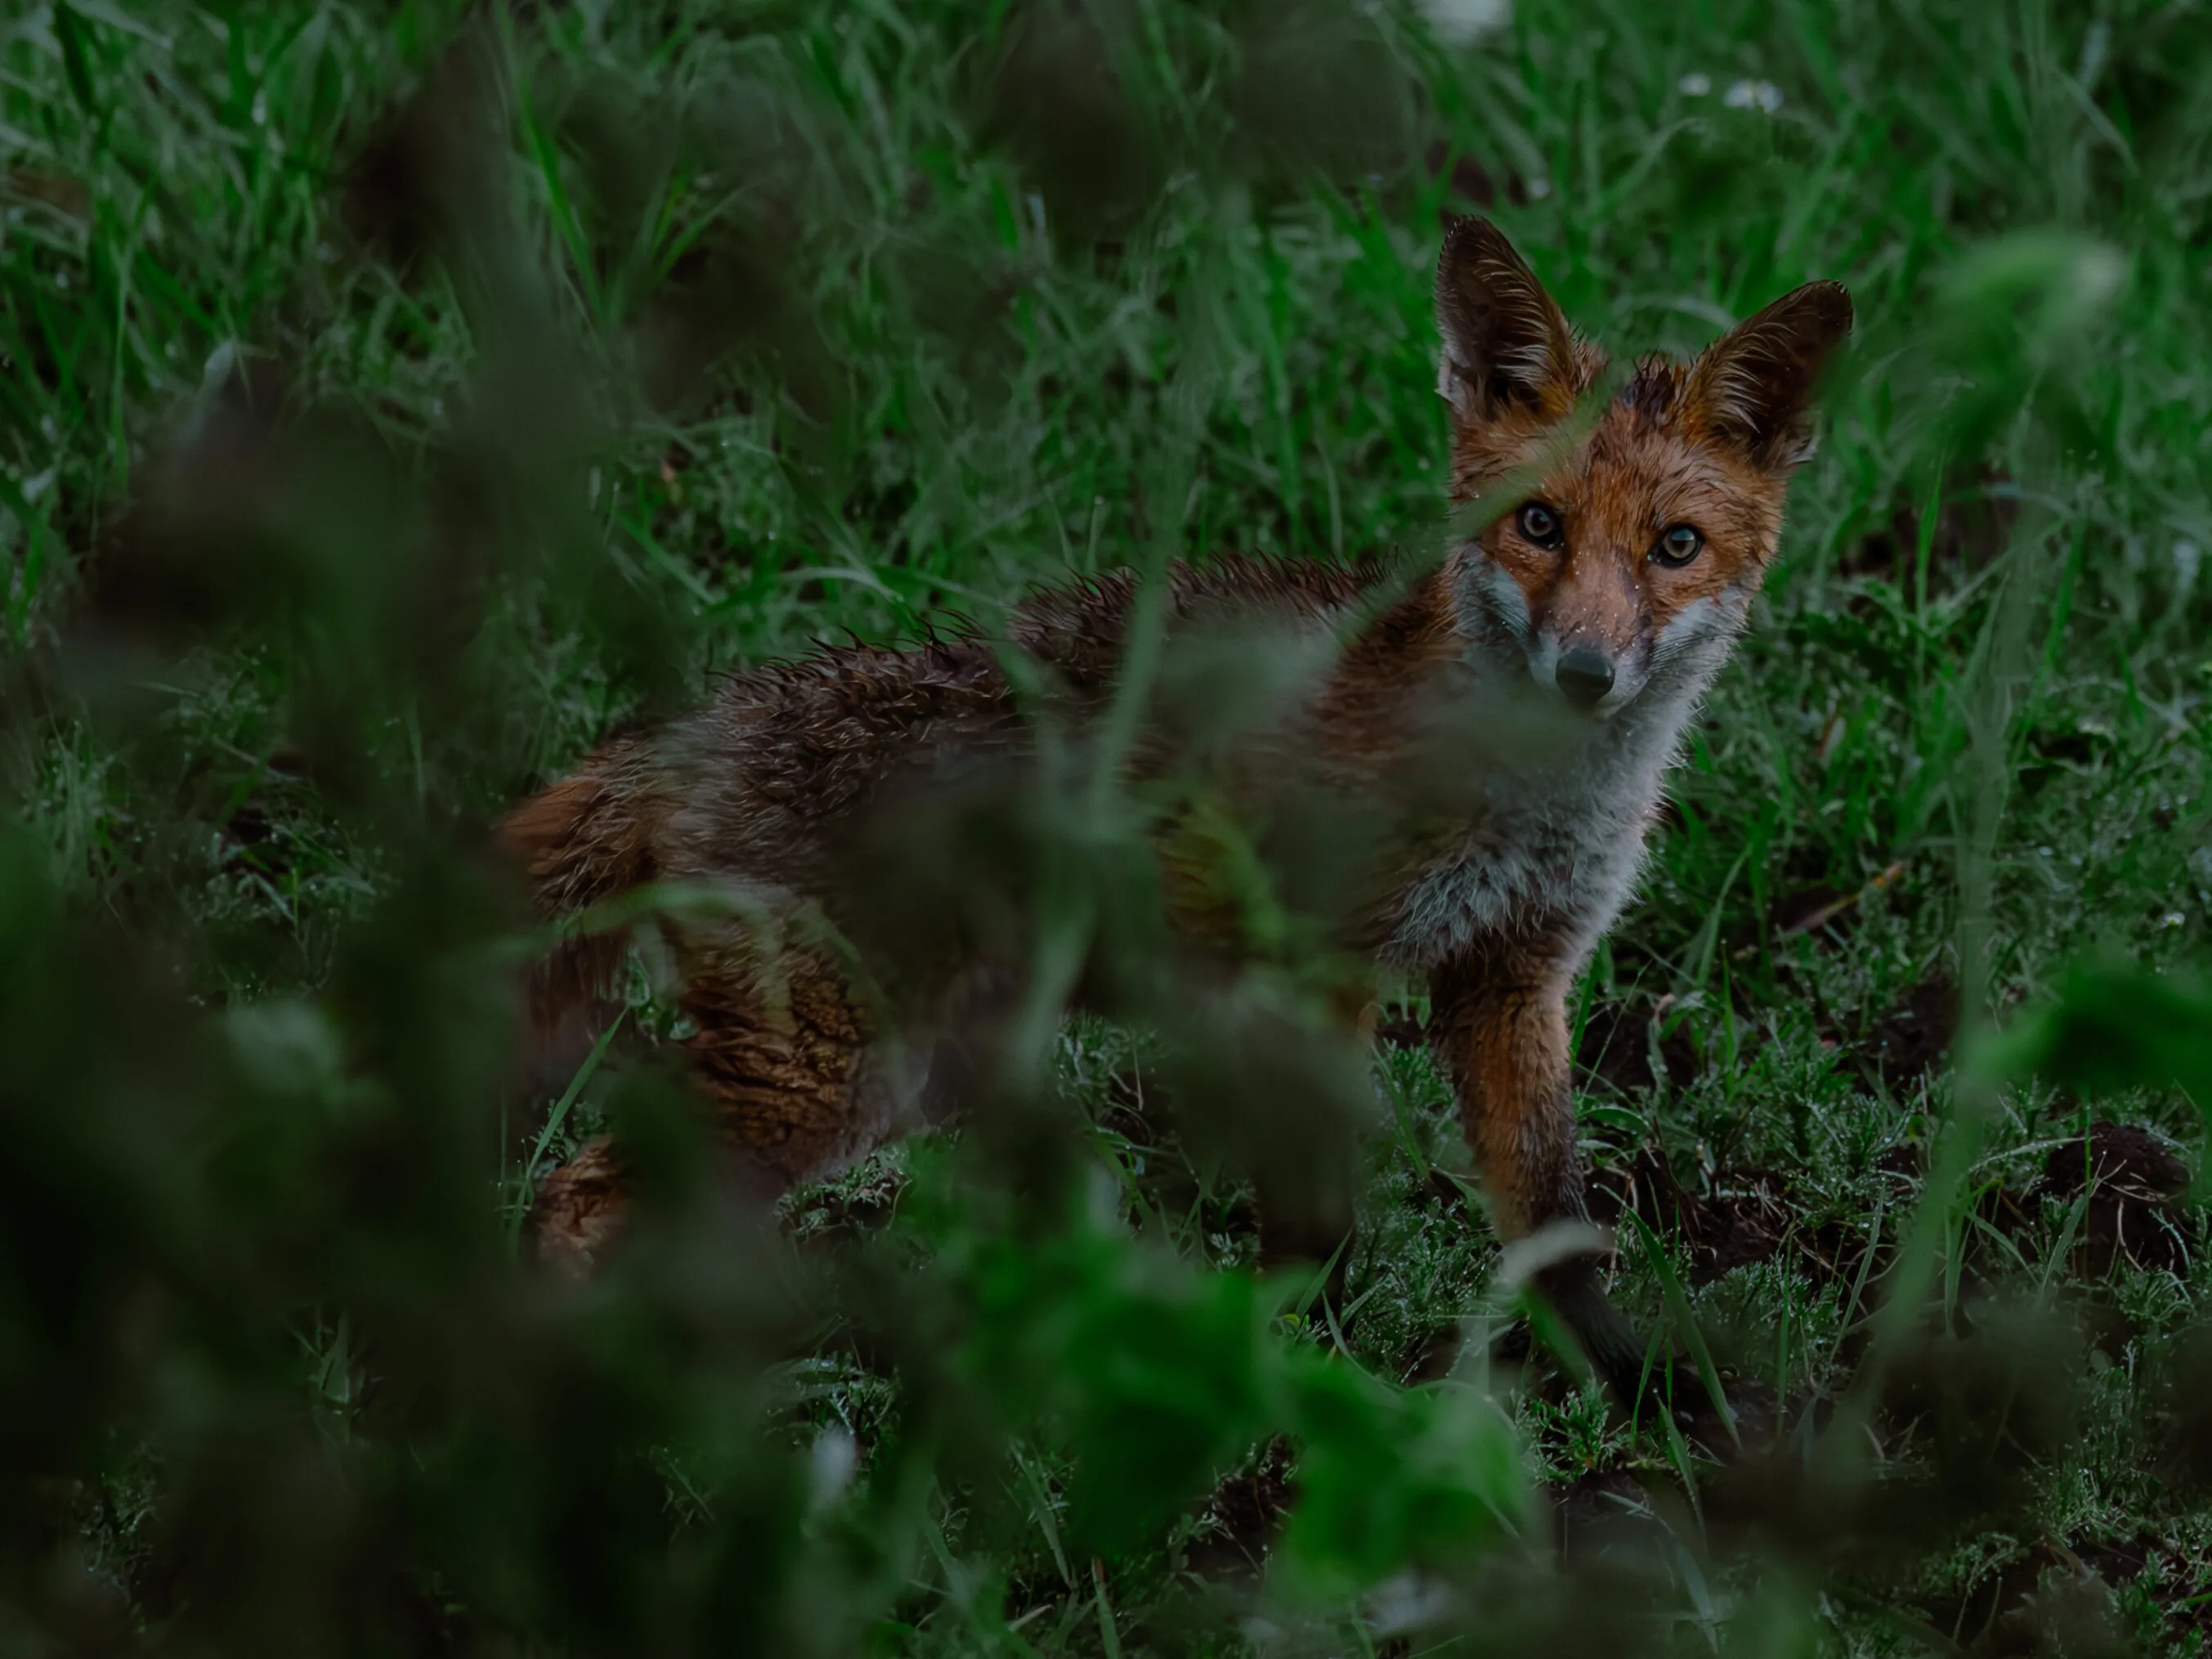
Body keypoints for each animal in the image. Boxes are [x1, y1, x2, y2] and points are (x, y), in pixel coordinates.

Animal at [499, 215, 1851, 1402]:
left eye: (1674, 546)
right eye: (1537, 525)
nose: (1583, 673)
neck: (1522, 803)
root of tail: (700, 724)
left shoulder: (1515, 979)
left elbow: (1554, 1223)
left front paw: (1630, 1385)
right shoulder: (1318, 972)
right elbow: (1318, 1220)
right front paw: (1282, 1366)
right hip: (820, 1078)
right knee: (572, 1195)